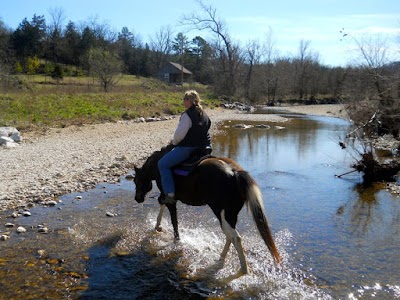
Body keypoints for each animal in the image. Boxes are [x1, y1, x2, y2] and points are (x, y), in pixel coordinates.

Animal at [134, 145, 282, 274]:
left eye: (136, 180)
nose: (137, 198)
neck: (157, 166)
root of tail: (235, 173)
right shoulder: (166, 197)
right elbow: (162, 205)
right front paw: (158, 226)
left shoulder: (170, 198)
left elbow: (173, 219)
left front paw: (175, 239)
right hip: (230, 215)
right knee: (230, 236)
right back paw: (221, 258)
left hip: (221, 212)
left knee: (235, 237)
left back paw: (243, 270)